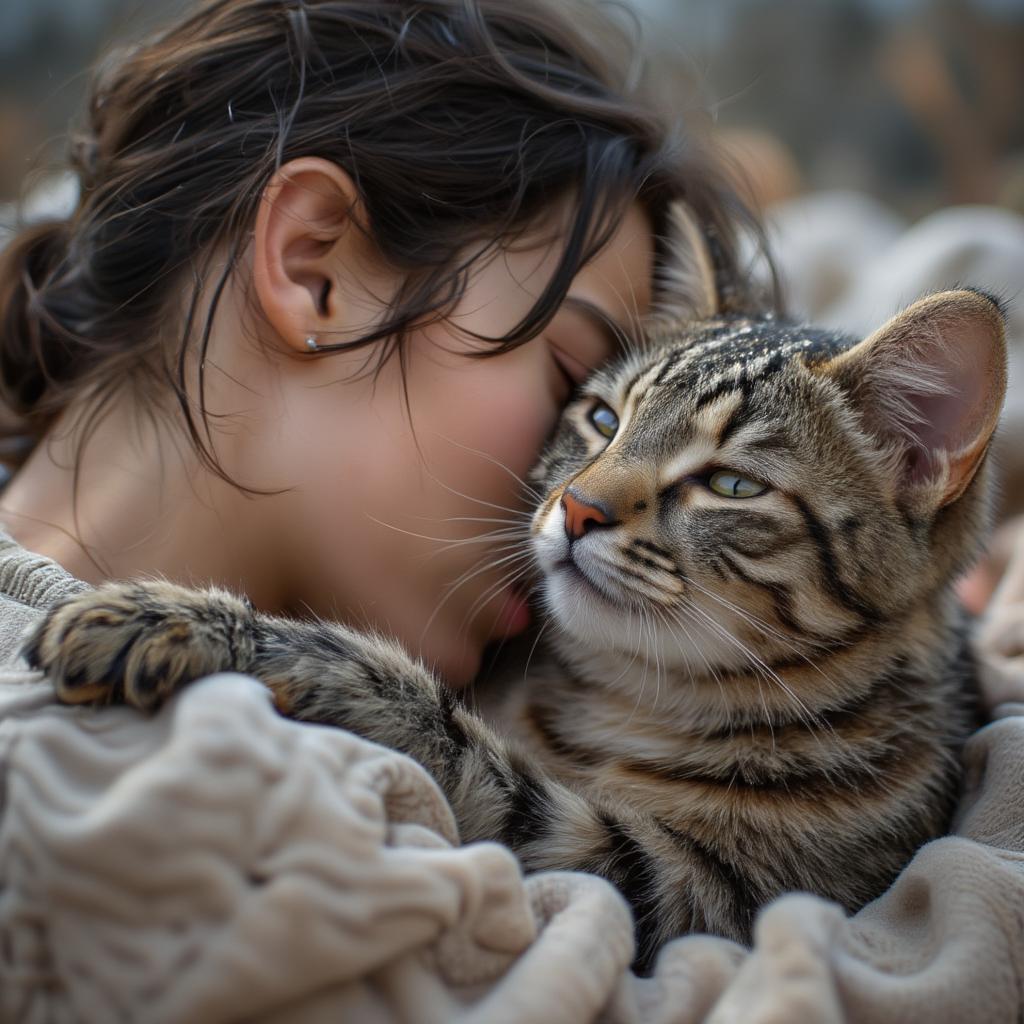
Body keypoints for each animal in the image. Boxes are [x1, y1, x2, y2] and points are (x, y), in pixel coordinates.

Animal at [24, 209, 1007, 966]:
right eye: (602, 418)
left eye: (731, 485)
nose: (577, 509)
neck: (627, 693)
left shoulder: (684, 890)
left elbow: (451, 739)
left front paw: (225, 633)